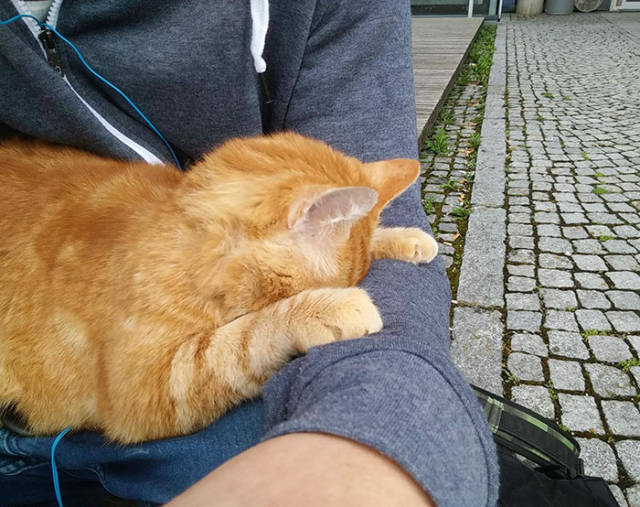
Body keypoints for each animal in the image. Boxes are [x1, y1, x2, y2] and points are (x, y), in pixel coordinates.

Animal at [0, 133, 436, 442]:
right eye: (339, 287)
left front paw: (408, 238)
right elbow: (242, 340)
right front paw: (327, 307)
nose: (344, 293)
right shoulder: (145, 387)